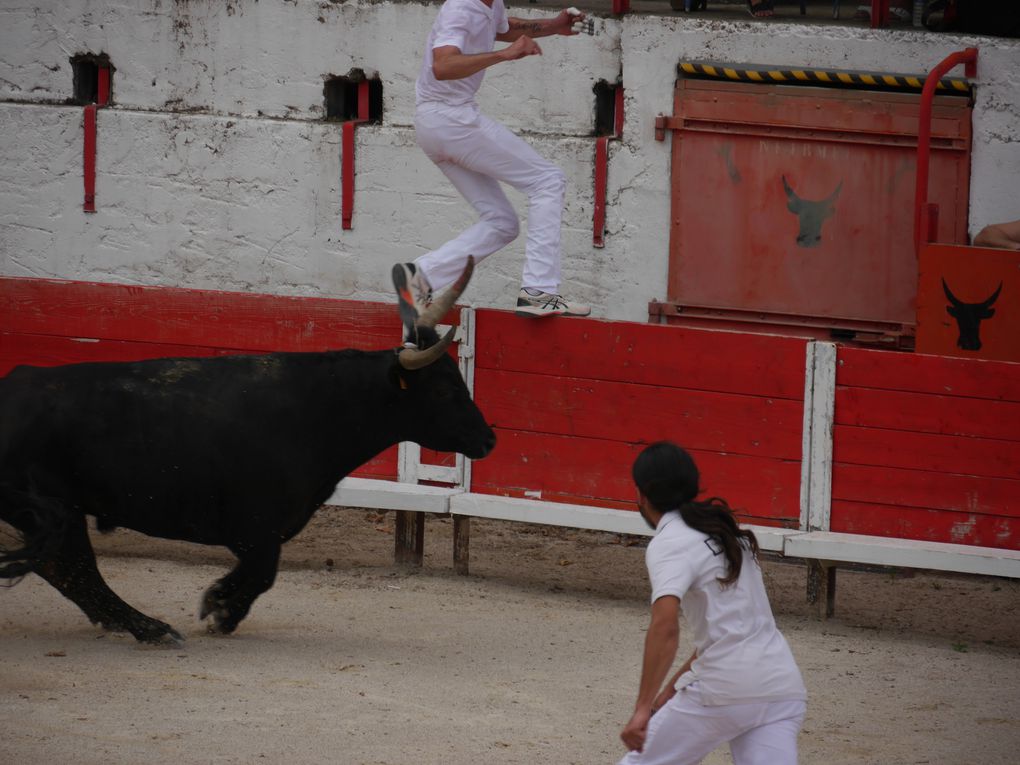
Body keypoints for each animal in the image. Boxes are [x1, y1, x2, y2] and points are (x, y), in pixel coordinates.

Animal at [0, 261, 493, 644]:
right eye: (444, 390)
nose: (489, 440)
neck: (320, 408)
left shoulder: (263, 530)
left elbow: (257, 573)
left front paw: (220, 604)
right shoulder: (257, 526)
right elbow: (263, 572)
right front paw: (219, 609)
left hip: (57, 512)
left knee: (68, 571)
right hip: (56, 510)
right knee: (73, 570)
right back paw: (152, 629)